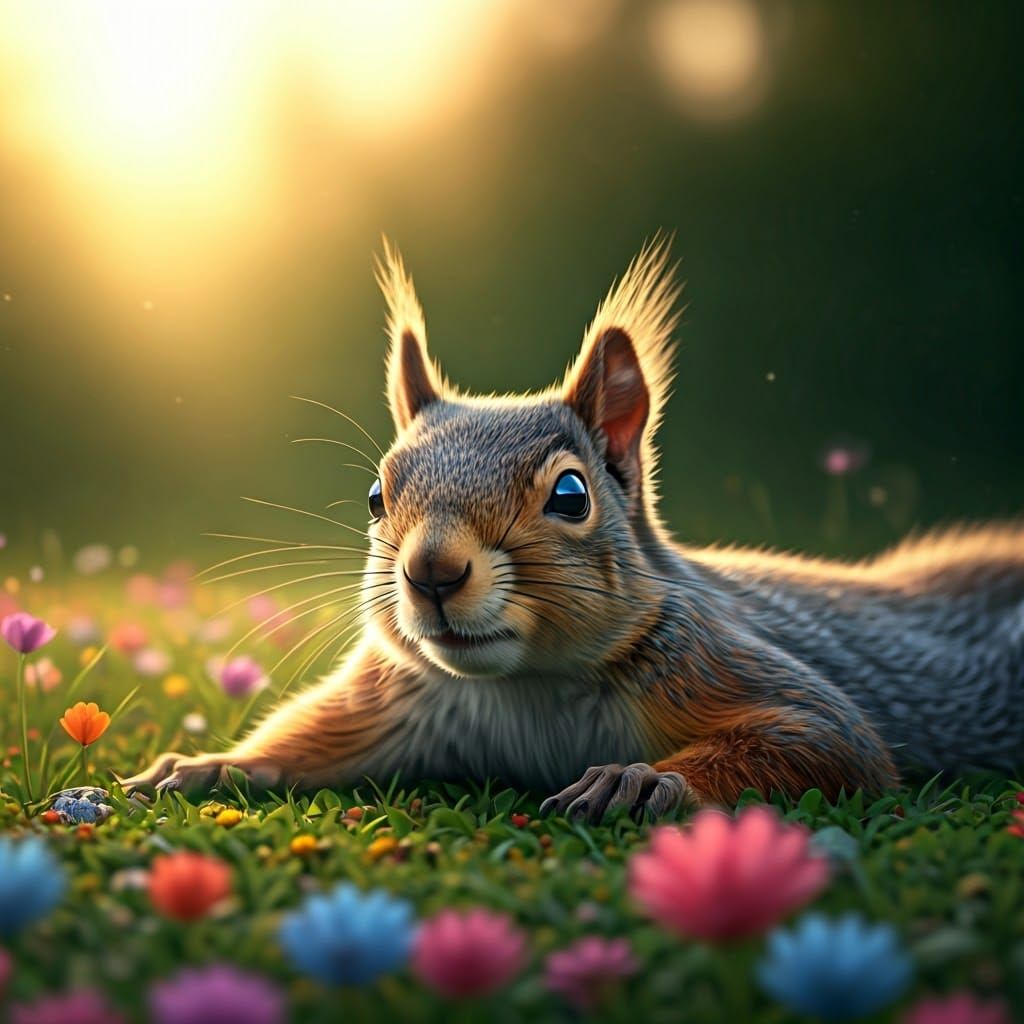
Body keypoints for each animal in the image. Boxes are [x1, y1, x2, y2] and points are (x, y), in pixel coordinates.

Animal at [124, 238, 1024, 822]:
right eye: (377, 496)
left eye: (569, 493)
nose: (432, 573)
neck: (527, 689)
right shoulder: (392, 700)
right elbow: (310, 735)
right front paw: (207, 766)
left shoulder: (722, 664)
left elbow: (827, 735)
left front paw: (640, 781)